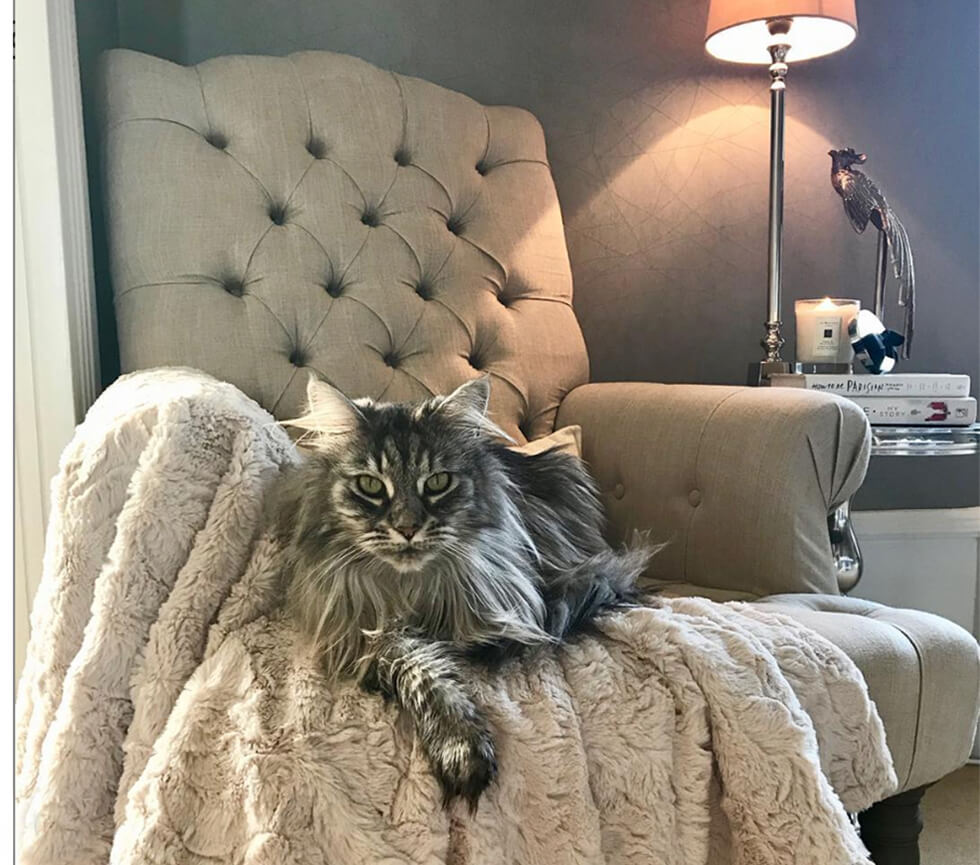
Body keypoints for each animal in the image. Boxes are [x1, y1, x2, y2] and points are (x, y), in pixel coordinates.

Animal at [272, 374, 648, 808]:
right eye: (370, 485)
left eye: (438, 482)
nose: (407, 527)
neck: (411, 589)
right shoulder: (365, 635)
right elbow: (421, 671)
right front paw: (459, 745)